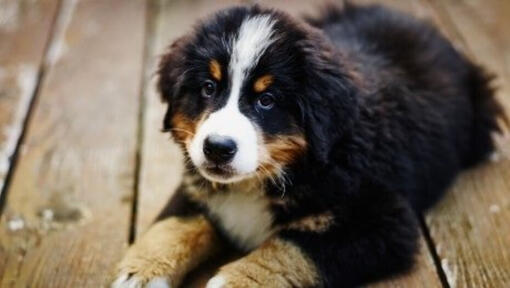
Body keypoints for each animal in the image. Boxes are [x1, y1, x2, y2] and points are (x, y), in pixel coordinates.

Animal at [111, 2, 502, 288]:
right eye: (208, 88)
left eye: (266, 100)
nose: (218, 148)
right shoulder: (196, 185)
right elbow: (175, 224)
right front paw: (141, 272)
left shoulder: (383, 223)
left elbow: (289, 247)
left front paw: (234, 281)